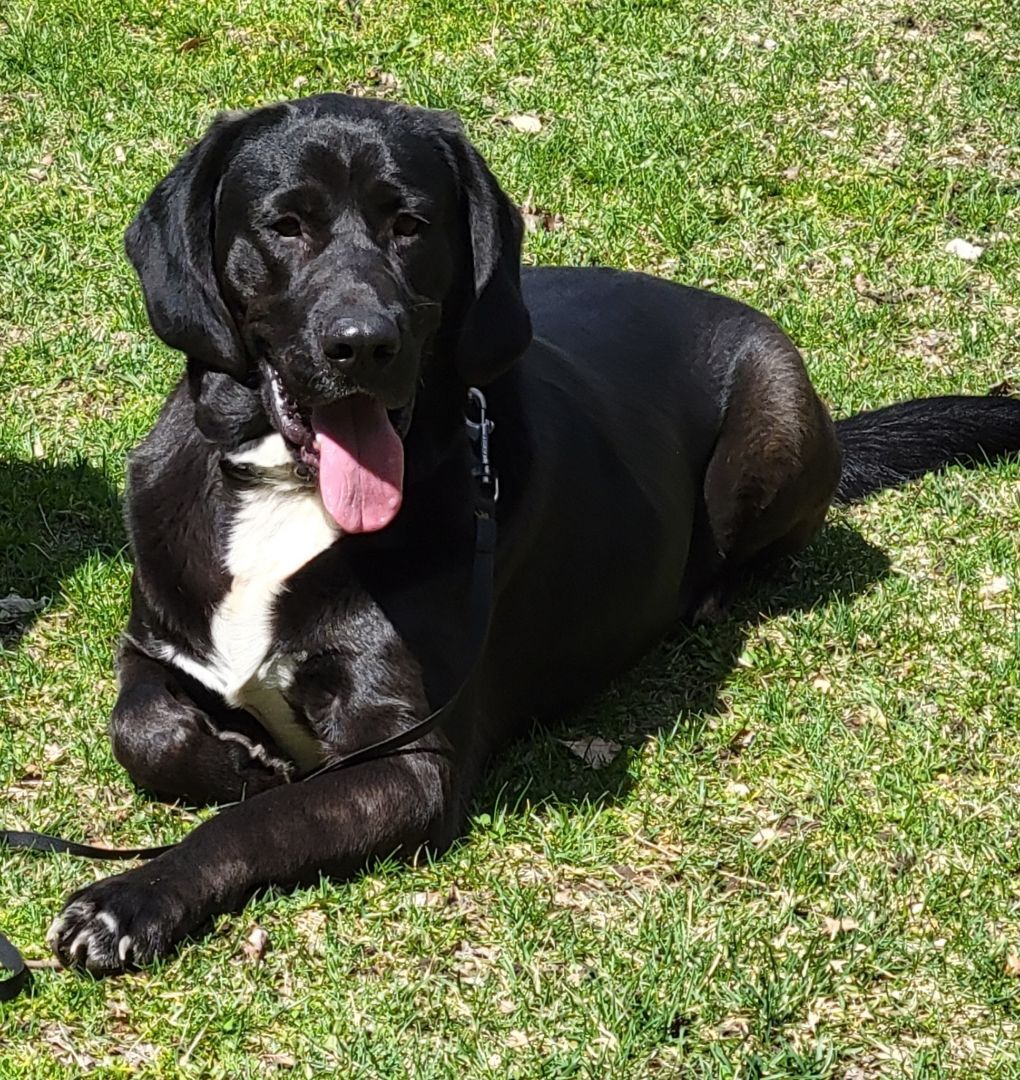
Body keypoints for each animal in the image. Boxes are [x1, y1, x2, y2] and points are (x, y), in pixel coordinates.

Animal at [47, 90, 1020, 972]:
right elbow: (140, 728)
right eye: (285, 225)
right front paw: (236, 760)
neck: (288, 492)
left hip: (772, 417)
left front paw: (136, 896)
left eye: (411, 224)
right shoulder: (157, 644)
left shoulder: (411, 760)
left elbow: (254, 823)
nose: (364, 343)